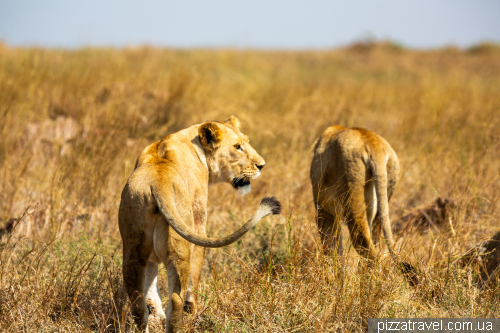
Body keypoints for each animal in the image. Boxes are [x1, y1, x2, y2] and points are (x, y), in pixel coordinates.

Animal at [118, 116, 282, 330]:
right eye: (237, 147)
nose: (261, 165)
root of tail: (156, 182)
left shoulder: (149, 257)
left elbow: (150, 287)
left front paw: (156, 316)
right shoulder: (198, 225)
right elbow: (194, 277)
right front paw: (193, 311)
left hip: (132, 250)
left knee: (137, 304)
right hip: (179, 248)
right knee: (176, 299)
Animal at [310, 124, 416, 282]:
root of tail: (373, 144)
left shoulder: (324, 211)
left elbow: (331, 248)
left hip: (353, 199)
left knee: (371, 254)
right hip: (381, 203)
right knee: (373, 246)